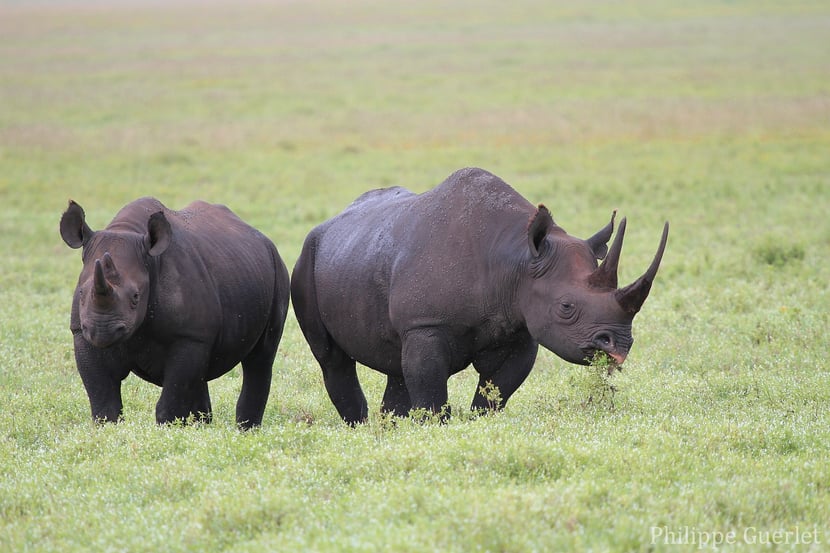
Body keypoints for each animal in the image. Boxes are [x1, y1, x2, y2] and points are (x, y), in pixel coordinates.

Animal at [60, 197, 290, 429]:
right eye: (81, 292)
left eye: (136, 296)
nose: (102, 330)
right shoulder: (81, 332)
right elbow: (103, 400)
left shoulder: (190, 337)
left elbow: (172, 399)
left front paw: (168, 430)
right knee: (201, 376)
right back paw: (203, 427)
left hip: (278, 270)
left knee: (260, 358)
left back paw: (247, 430)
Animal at [291, 167, 668, 424]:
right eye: (566, 307)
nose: (619, 346)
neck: (516, 258)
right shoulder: (425, 325)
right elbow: (431, 395)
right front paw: (434, 431)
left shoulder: (520, 326)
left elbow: (493, 396)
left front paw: (477, 427)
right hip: (308, 257)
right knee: (333, 359)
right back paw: (358, 426)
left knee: (395, 365)